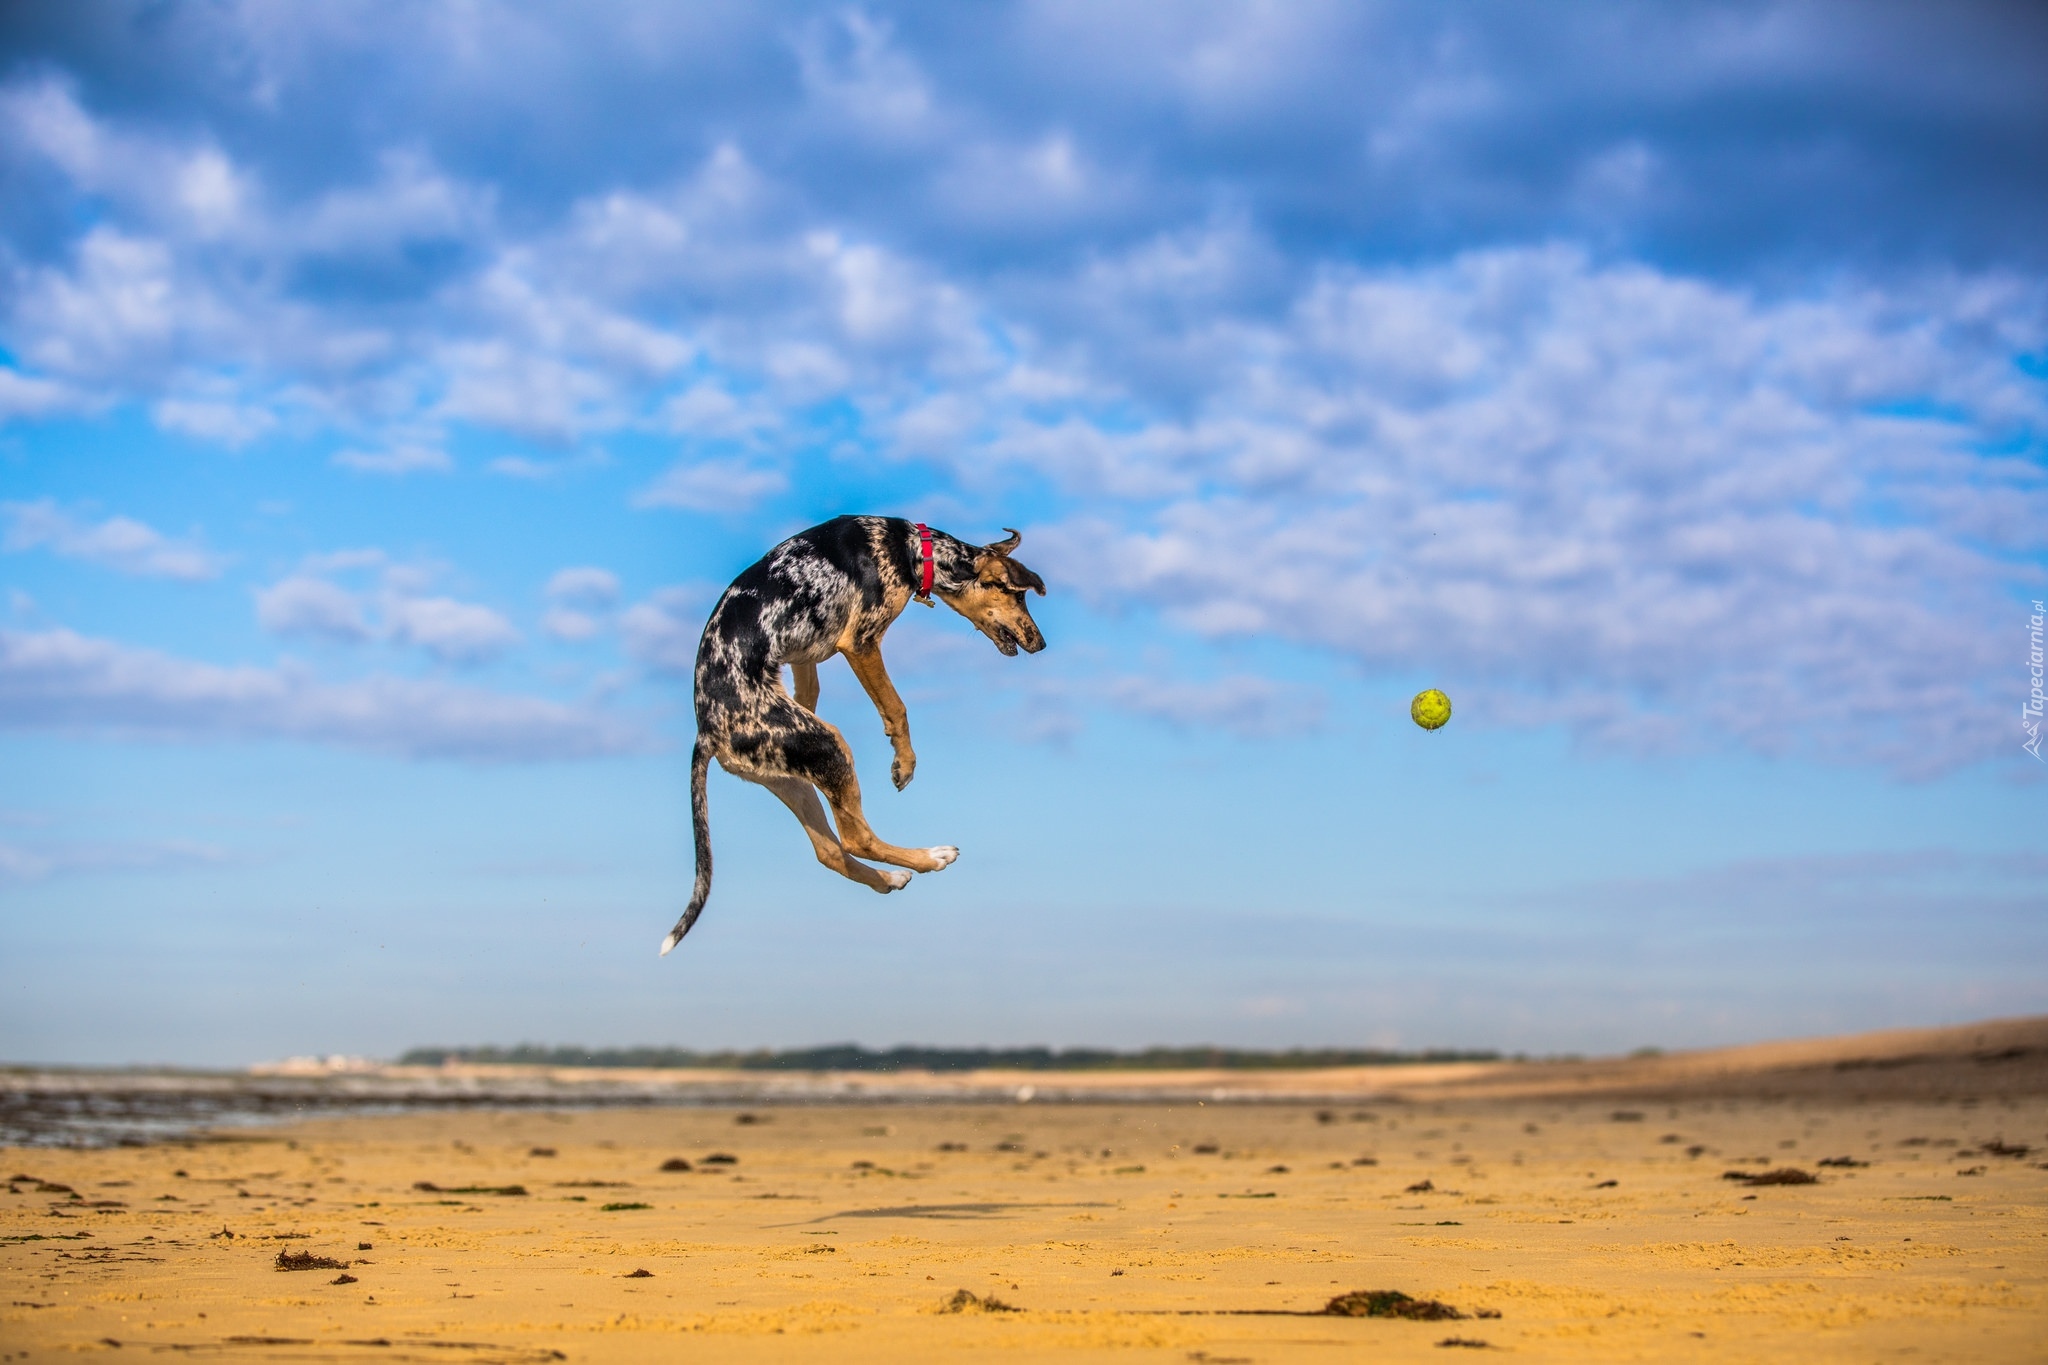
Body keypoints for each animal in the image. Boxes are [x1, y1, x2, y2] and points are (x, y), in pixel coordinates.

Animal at [663, 517, 1048, 957]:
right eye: (1018, 595)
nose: (1041, 643)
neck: (911, 548)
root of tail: (707, 732)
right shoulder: (862, 641)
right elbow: (896, 707)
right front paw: (905, 763)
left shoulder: (804, 653)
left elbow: (810, 689)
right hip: (830, 747)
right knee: (856, 838)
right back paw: (931, 858)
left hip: (797, 771)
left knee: (830, 850)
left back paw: (890, 878)